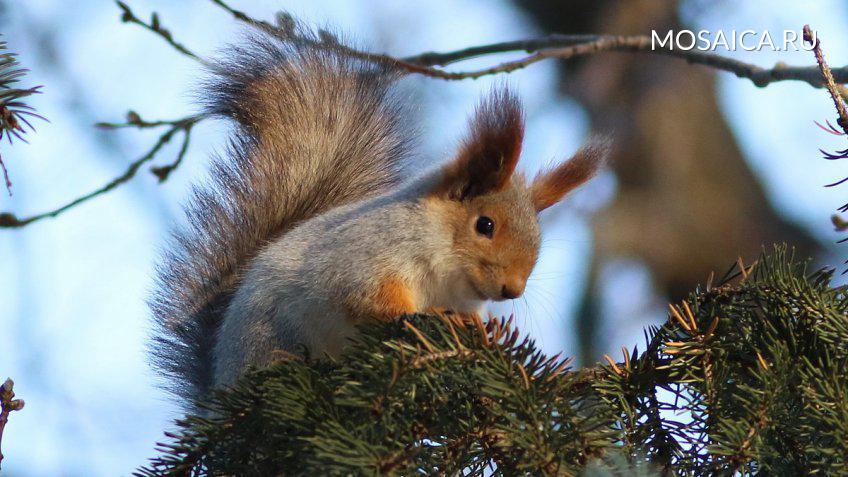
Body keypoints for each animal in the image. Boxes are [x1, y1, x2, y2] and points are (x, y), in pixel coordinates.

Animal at [149, 25, 608, 406]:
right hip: (267, 342)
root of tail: (218, 389)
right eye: (486, 225)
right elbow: (366, 297)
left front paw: (482, 330)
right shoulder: (366, 255)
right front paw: (422, 316)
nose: (512, 290)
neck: (444, 263)